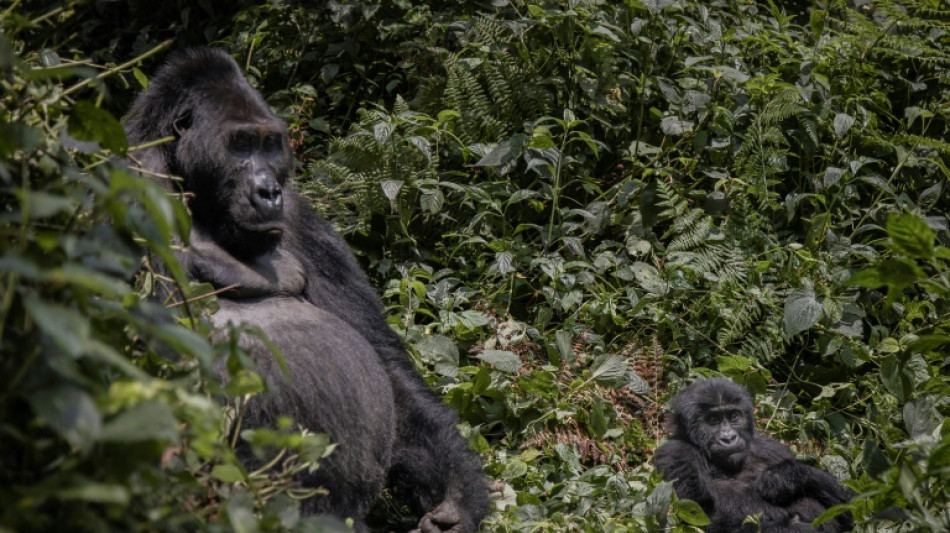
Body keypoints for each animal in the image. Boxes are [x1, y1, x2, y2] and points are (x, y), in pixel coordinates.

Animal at [125, 47, 490, 532]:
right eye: (240, 144)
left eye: (269, 145)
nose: (268, 191)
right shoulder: (131, 184)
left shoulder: (301, 217)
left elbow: (385, 364)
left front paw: (458, 496)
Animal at [656, 378, 856, 532]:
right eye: (713, 420)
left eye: (734, 416)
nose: (729, 438)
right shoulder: (674, 453)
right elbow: (699, 518)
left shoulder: (769, 447)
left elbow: (849, 509)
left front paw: (785, 476)